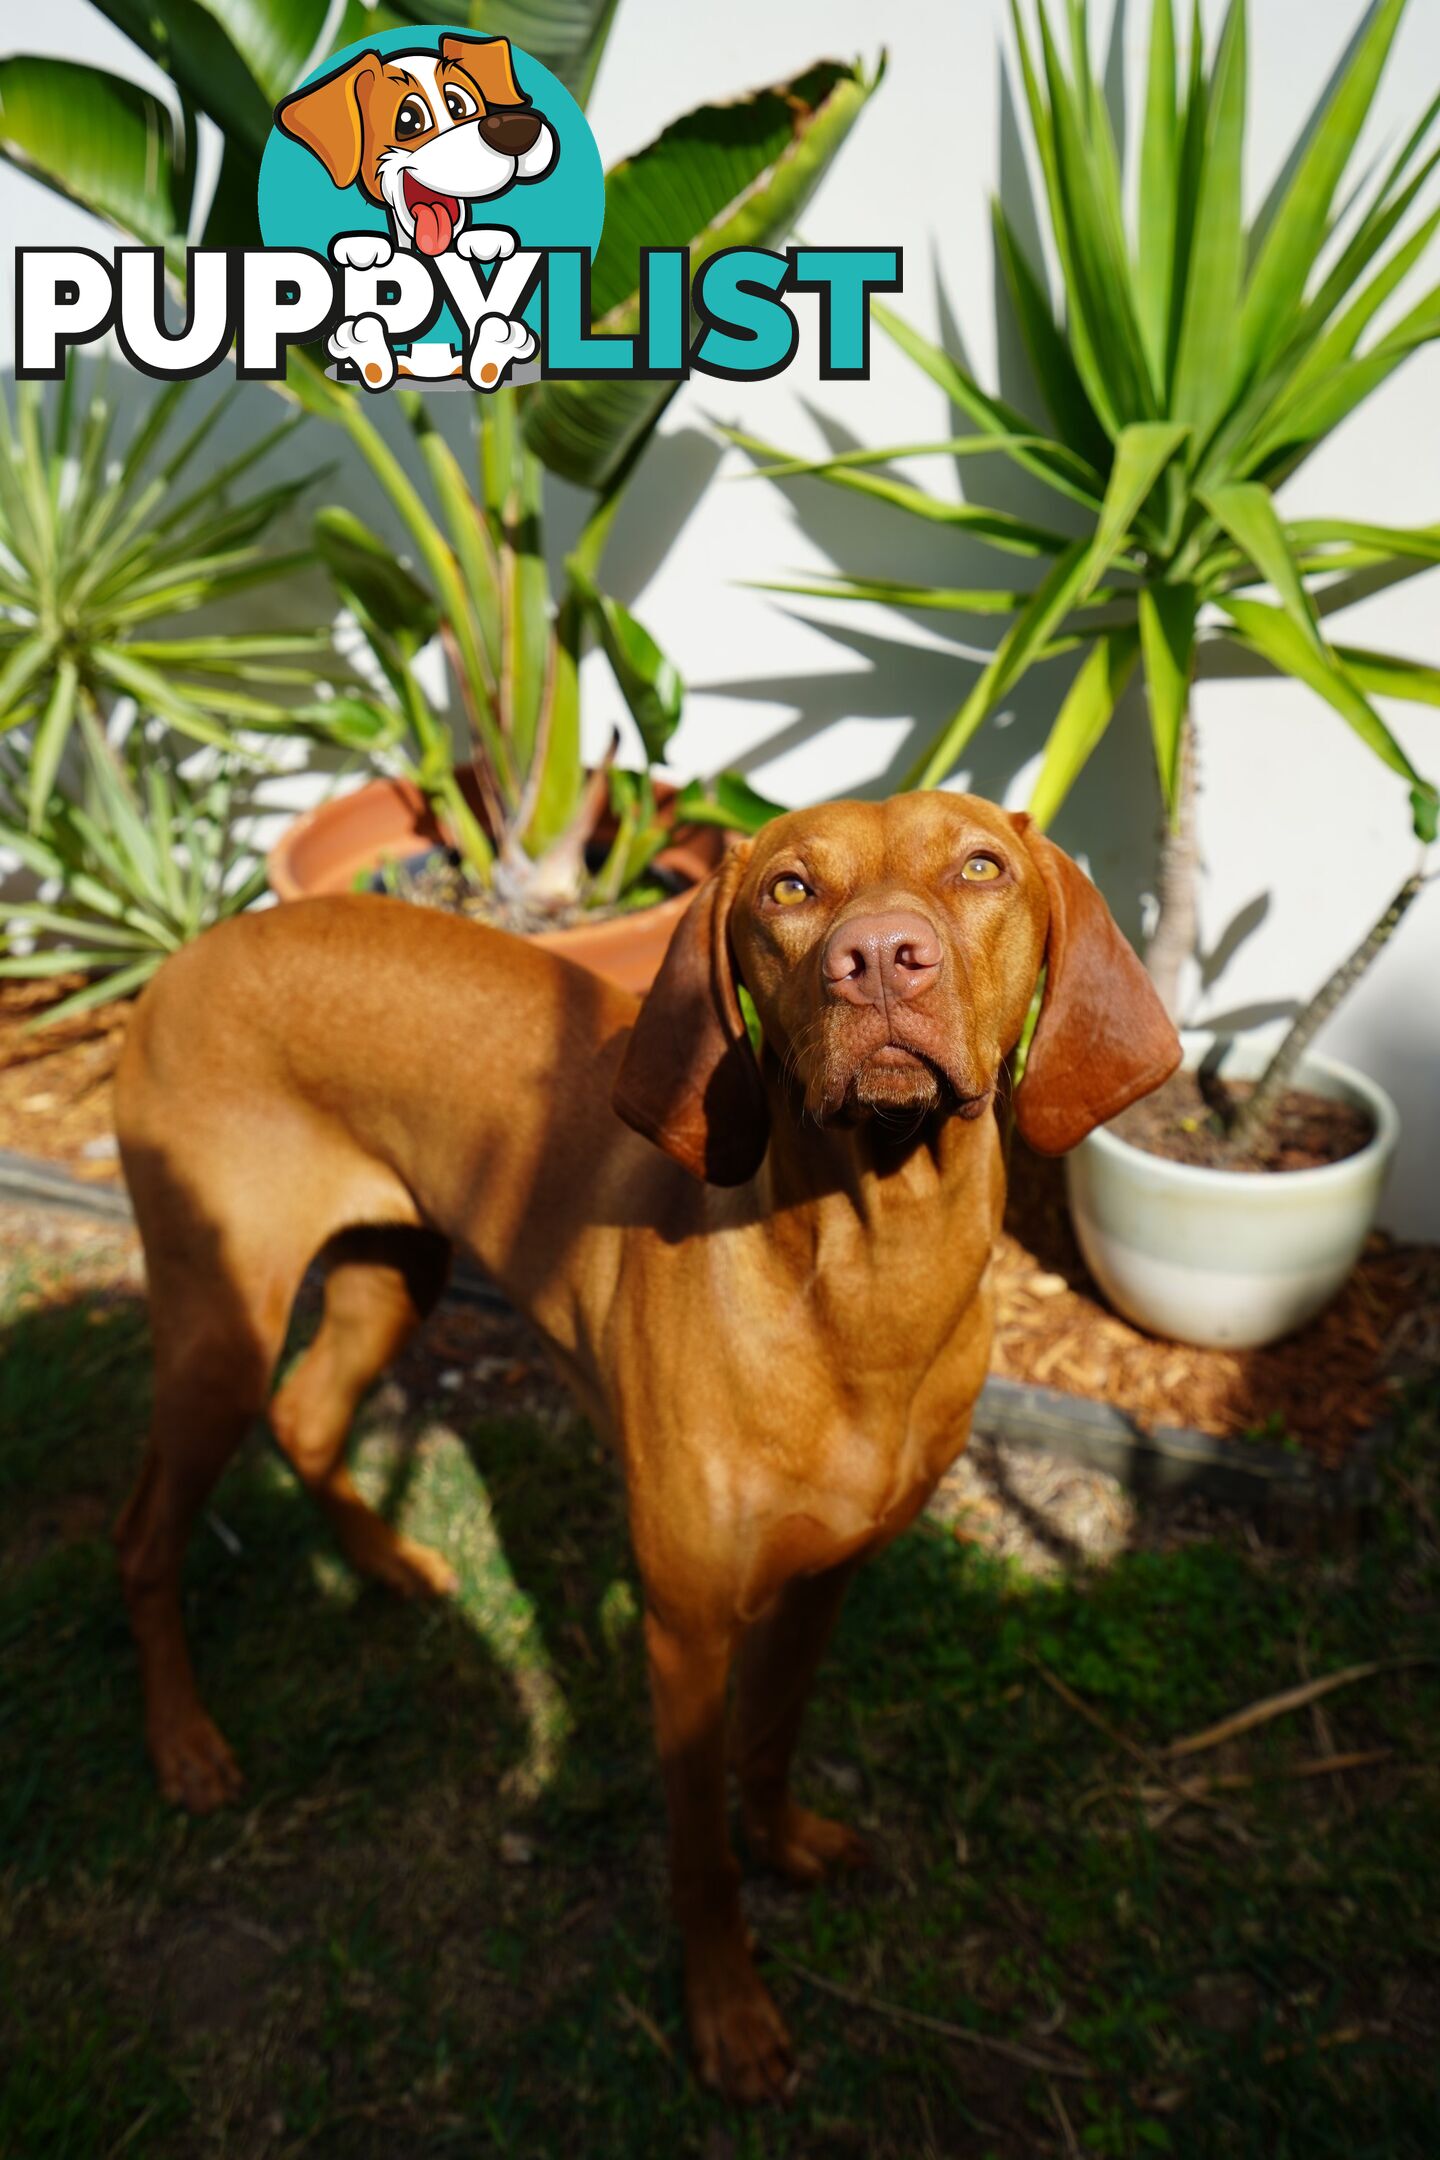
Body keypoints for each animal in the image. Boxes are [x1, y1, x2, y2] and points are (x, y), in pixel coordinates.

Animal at [115, 790, 1183, 2090]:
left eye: (981, 867)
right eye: (788, 890)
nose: (879, 958)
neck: (868, 1278)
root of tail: (190, 954)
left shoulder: (826, 1578)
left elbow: (772, 1739)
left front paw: (786, 1843)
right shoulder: (683, 1629)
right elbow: (697, 1845)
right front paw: (727, 2009)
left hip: (394, 1269)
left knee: (307, 1414)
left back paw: (384, 1565)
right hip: (221, 1324)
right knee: (145, 1532)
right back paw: (183, 1745)